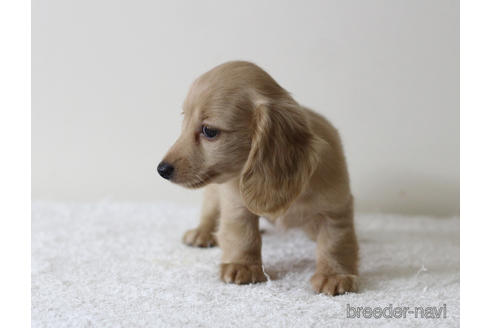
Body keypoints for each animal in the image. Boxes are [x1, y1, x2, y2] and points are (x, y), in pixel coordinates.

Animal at [158, 60, 358, 294]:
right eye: (185, 120)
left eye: (209, 131)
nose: (161, 169)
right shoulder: (235, 203)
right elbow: (243, 234)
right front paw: (241, 265)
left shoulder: (336, 209)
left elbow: (335, 243)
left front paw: (334, 275)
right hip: (213, 192)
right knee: (209, 211)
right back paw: (202, 233)